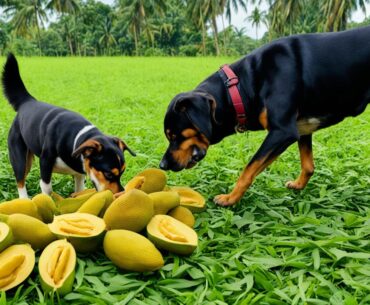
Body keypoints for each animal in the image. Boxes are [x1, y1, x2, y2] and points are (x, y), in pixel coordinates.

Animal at [2, 53, 135, 197]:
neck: (78, 139)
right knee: (20, 180)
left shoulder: (79, 173)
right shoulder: (45, 163)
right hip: (20, 158)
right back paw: (24, 199)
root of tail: (28, 101)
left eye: (122, 173)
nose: (122, 194)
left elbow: (79, 190)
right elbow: (46, 189)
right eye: (108, 174)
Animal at [161, 26, 370, 207]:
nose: (162, 165)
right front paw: (298, 185)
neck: (239, 88)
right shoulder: (301, 129)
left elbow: (248, 169)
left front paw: (230, 199)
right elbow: (308, 165)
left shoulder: (283, 132)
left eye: (175, 135)